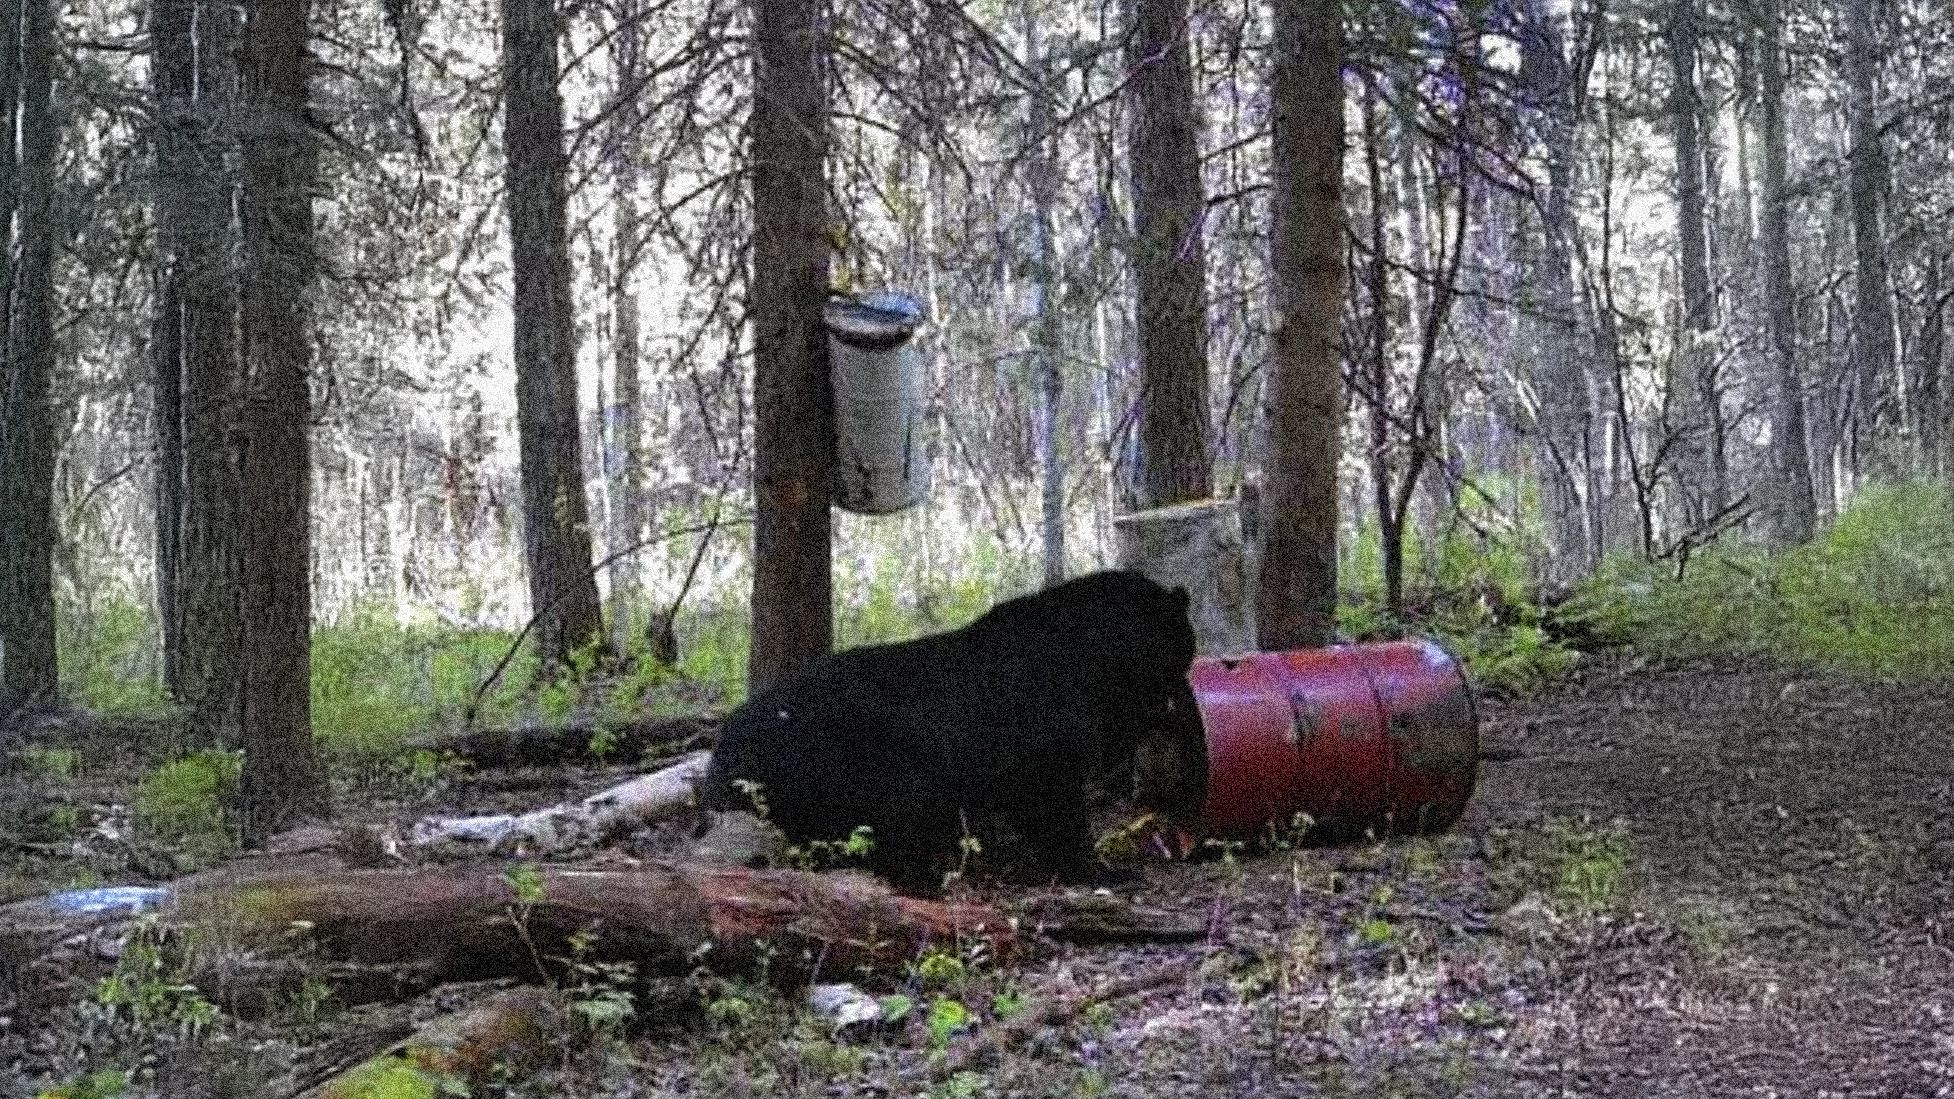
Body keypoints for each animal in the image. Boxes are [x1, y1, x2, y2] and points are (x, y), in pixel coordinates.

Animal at [696, 569, 1210, 892]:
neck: (1092, 654)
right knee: (882, 821)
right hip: (853, 767)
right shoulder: (1044, 741)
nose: (1180, 697)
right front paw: (1099, 870)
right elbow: (1056, 806)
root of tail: (728, 741)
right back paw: (918, 877)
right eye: (1183, 643)